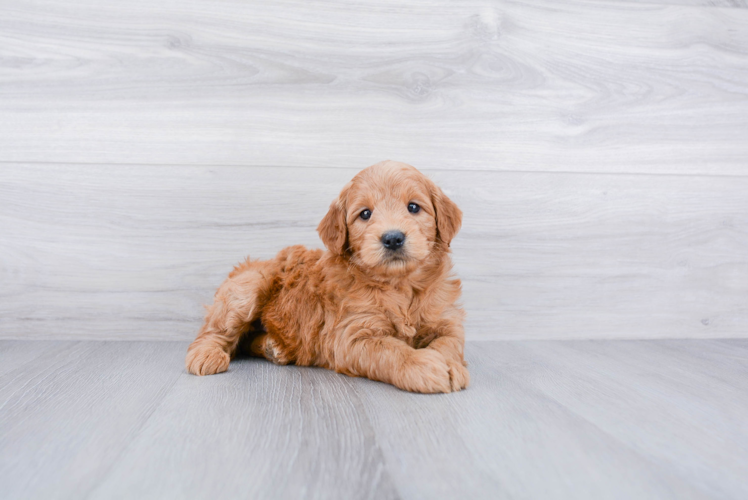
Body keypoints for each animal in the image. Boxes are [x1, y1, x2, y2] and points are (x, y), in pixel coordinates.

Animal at [186, 160, 468, 394]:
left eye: (413, 207)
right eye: (365, 213)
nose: (393, 238)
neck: (400, 285)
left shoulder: (446, 322)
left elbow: (448, 344)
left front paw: (450, 365)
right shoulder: (352, 336)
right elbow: (391, 350)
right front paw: (425, 366)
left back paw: (272, 347)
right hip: (247, 287)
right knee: (214, 331)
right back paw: (206, 355)